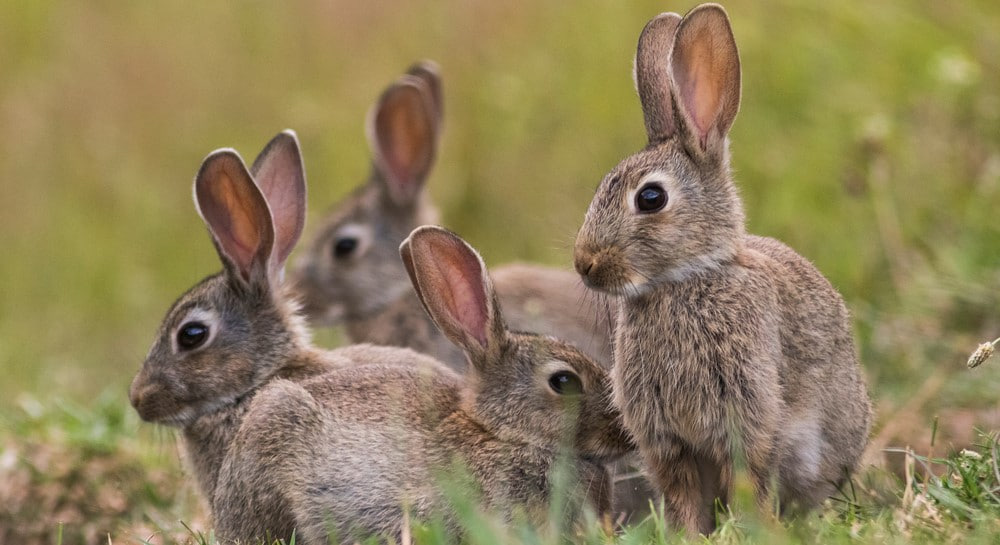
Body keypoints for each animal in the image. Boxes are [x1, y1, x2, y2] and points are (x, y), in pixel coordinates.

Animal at [572, 2, 876, 532]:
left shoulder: (747, 417)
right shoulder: (667, 441)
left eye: (650, 198)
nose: (583, 263)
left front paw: (749, 530)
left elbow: (747, 479)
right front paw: (688, 535)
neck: (685, 279)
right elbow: (682, 494)